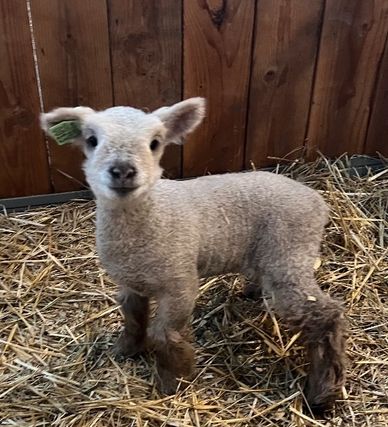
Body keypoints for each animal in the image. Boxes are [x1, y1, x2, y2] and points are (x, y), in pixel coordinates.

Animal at [41, 98, 348, 414]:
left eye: (155, 143)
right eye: (91, 140)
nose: (123, 170)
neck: (151, 218)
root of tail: (316, 198)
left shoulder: (180, 283)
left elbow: (164, 335)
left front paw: (172, 382)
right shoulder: (130, 282)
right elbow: (133, 317)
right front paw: (126, 350)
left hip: (290, 254)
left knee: (328, 316)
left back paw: (322, 393)